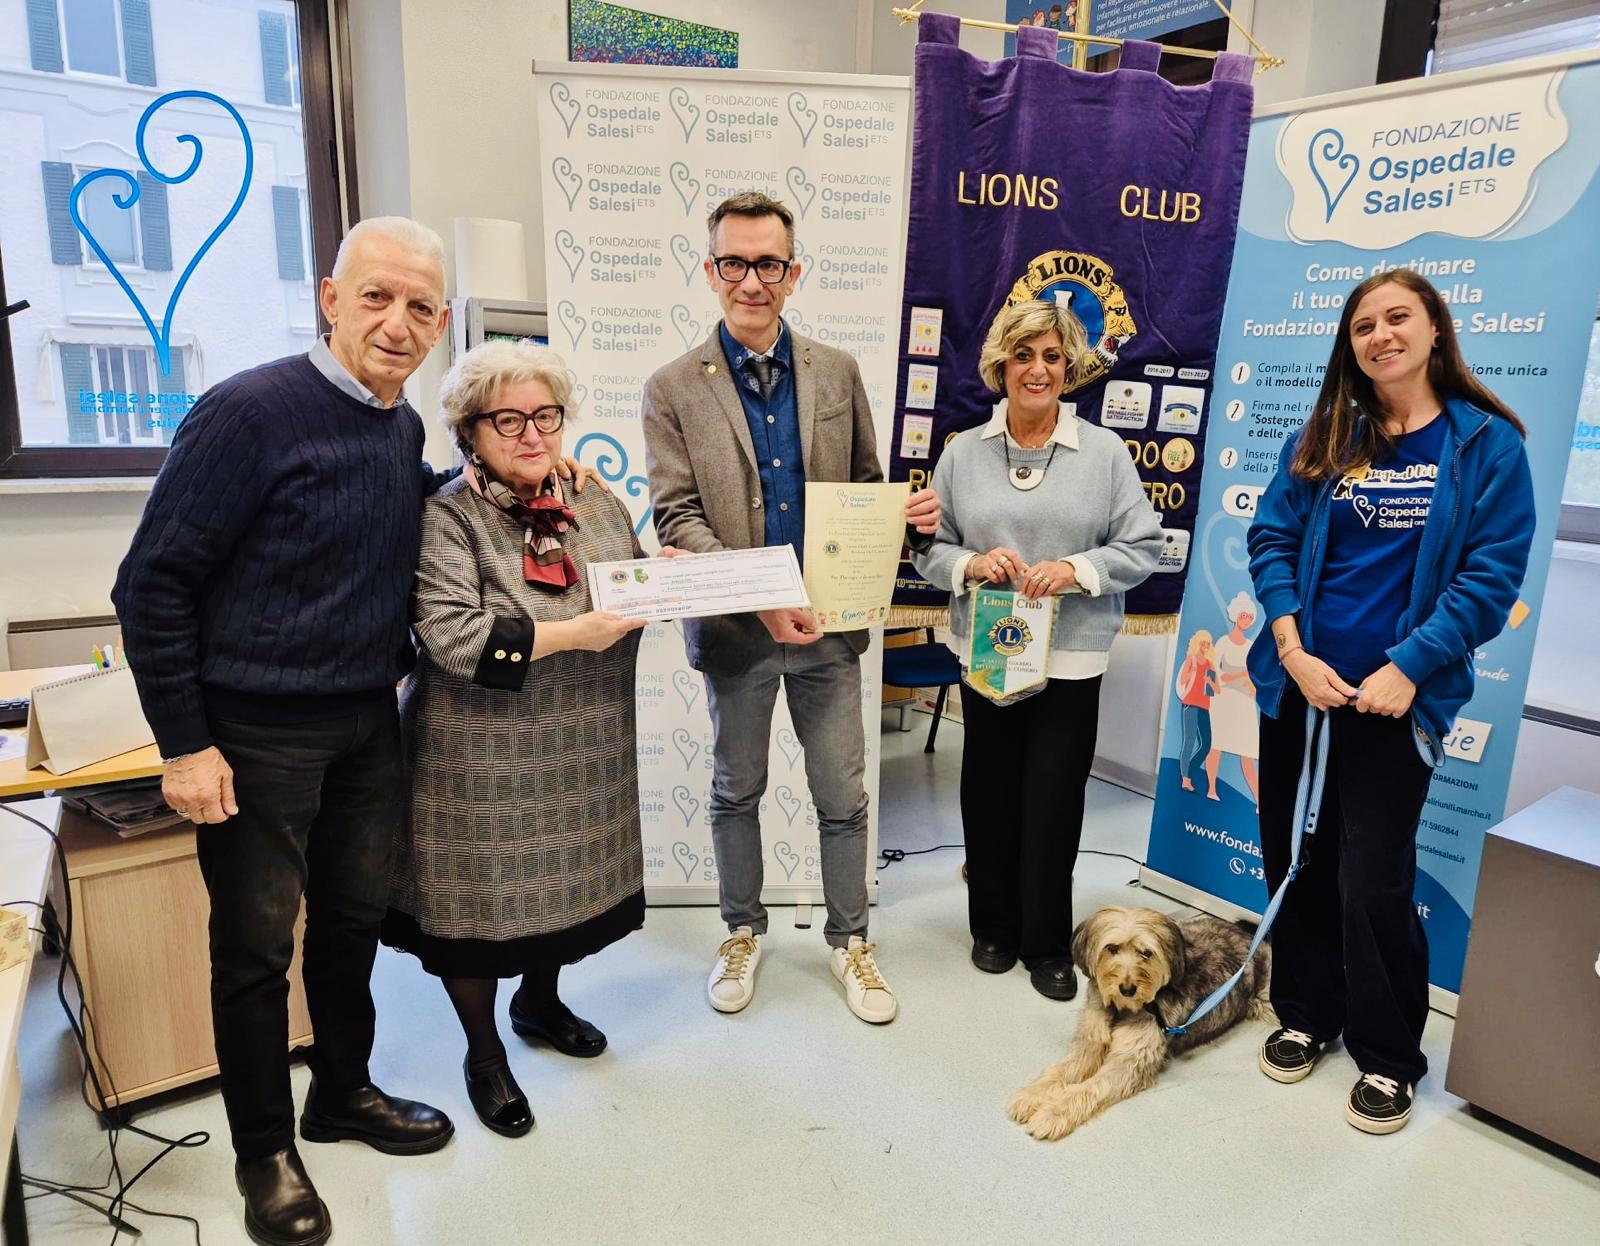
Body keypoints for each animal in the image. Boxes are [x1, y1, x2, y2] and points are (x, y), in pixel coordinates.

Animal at [1008, 906, 1275, 1140]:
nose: (1127, 989)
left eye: (1146, 953)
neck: (1122, 1010)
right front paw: (1032, 1095)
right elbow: (1062, 1070)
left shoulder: (1130, 1062)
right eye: (1112, 948)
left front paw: (1054, 1113)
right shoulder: (1090, 1042)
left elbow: (1090, 1087)